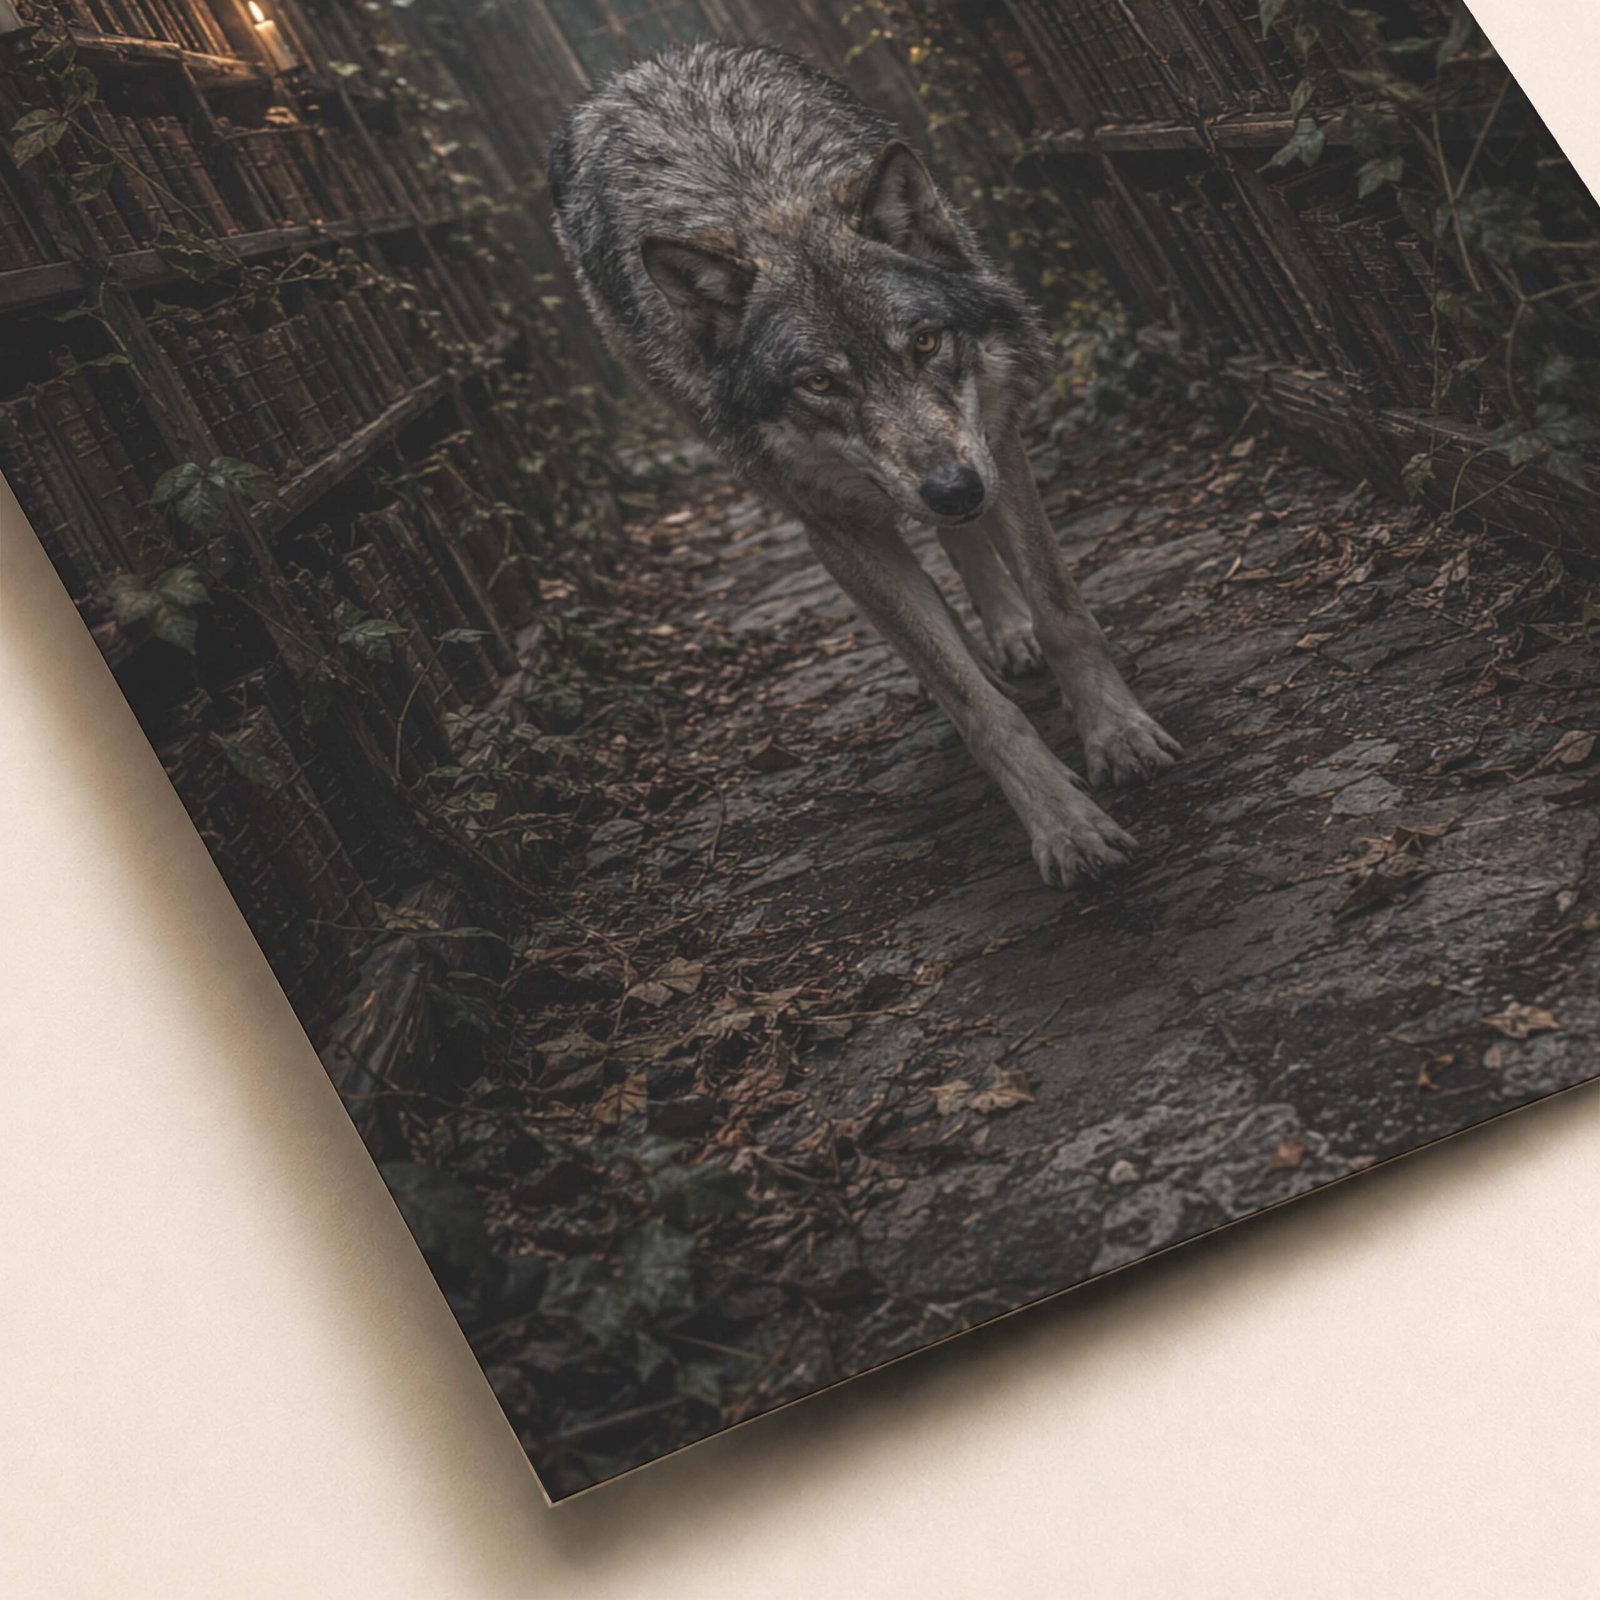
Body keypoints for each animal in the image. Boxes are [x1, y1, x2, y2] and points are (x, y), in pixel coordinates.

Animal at [549, 42, 1179, 888]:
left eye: (925, 341)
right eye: (819, 384)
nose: (951, 489)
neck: (764, 202)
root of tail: (643, 67)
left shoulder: (996, 443)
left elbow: (1062, 613)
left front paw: (1118, 735)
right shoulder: (836, 528)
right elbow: (976, 705)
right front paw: (1065, 826)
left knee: (968, 552)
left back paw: (1005, 628)